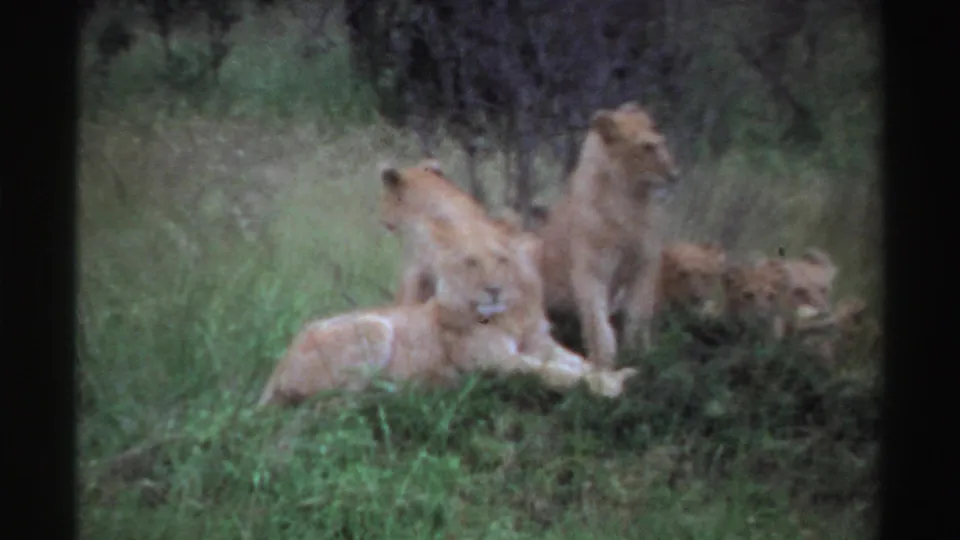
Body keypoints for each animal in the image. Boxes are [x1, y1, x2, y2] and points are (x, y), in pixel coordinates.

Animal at [536, 101, 682, 367]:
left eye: (662, 142)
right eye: (647, 147)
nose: (674, 174)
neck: (631, 201)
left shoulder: (646, 264)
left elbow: (639, 313)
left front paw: (641, 354)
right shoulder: (591, 269)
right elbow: (597, 321)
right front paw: (603, 362)